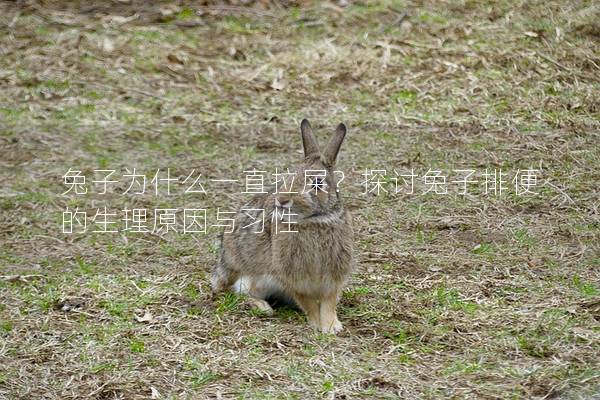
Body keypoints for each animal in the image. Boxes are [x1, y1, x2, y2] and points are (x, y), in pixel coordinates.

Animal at [211, 119, 354, 334]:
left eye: (317, 183)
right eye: (289, 176)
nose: (282, 200)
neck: (314, 220)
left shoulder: (334, 272)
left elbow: (329, 301)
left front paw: (331, 326)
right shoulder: (291, 274)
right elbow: (308, 302)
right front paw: (317, 324)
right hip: (251, 276)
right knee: (239, 291)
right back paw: (262, 307)